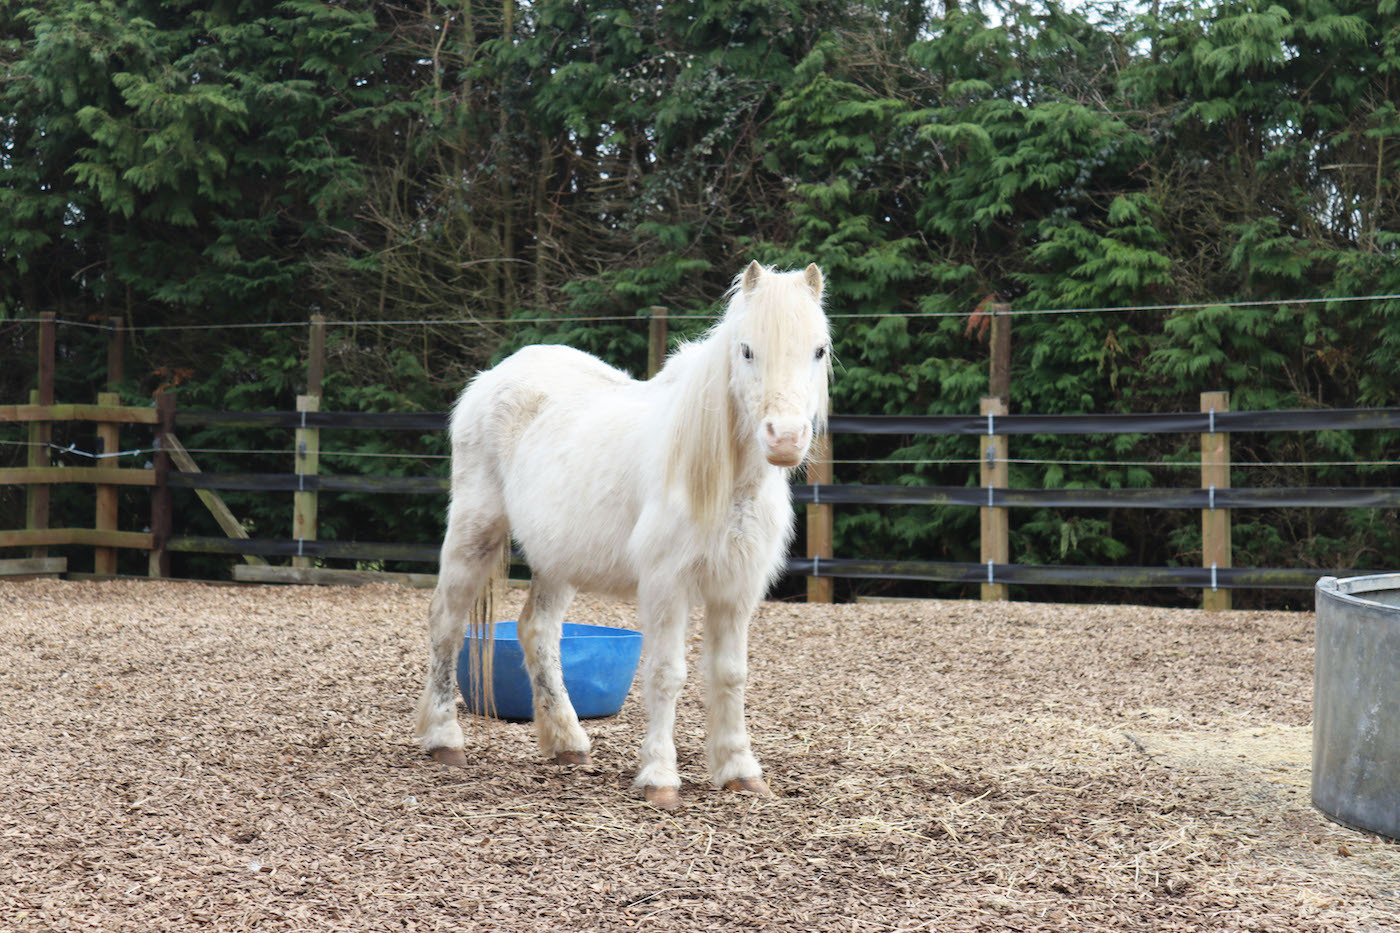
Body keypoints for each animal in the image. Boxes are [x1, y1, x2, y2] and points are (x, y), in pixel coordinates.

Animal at [415, 260, 831, 809]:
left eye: (819, 349)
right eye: (746, 349)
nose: (784, 438)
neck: (722, 480)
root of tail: (493, 377)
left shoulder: (736, 591)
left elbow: (730, 675)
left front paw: (740, 771)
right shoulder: (666, 586)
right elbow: (666, 673)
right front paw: (659, 777)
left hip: (557, 560)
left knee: (538, 632)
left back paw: (568, 744)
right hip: (474, 530)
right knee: (447, 620)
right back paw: (445, 740)